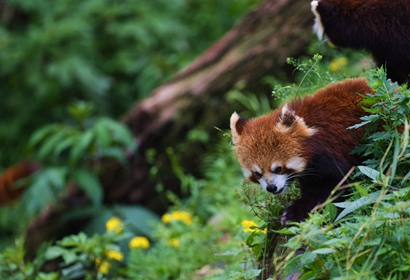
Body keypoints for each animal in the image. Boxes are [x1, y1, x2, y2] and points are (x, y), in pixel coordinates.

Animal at [229, 77, 374, 223]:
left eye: (278, 168)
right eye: (257, 173)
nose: (271, 187)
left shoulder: (326, 152)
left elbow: (335, 183)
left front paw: (294, 212)